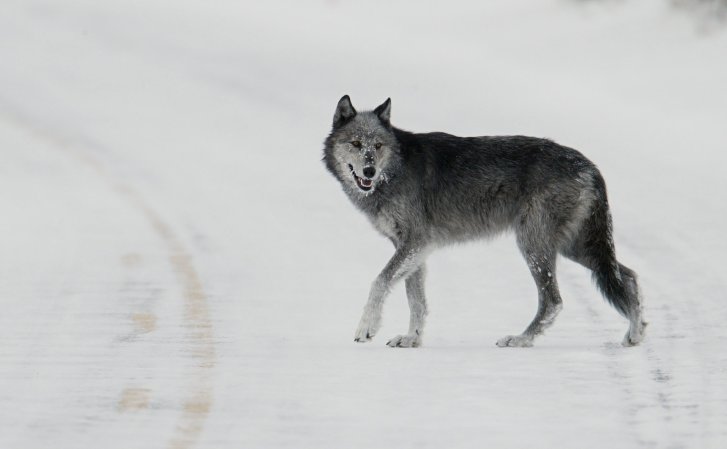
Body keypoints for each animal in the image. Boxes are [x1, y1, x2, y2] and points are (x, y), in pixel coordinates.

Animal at [324, 93, 648, 346]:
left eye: (377, 146)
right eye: (356, 143)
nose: (368, 171)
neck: (395, 169)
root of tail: (589, 165)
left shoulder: (415, 242)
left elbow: (379, 282)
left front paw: (367, 328)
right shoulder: (412, 248)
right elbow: (416, 299)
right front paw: (411, 339)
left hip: (535, 246)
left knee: (553, 301)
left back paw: (520, 339)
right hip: (575, 248)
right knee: (629, 276)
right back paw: (635, 334)